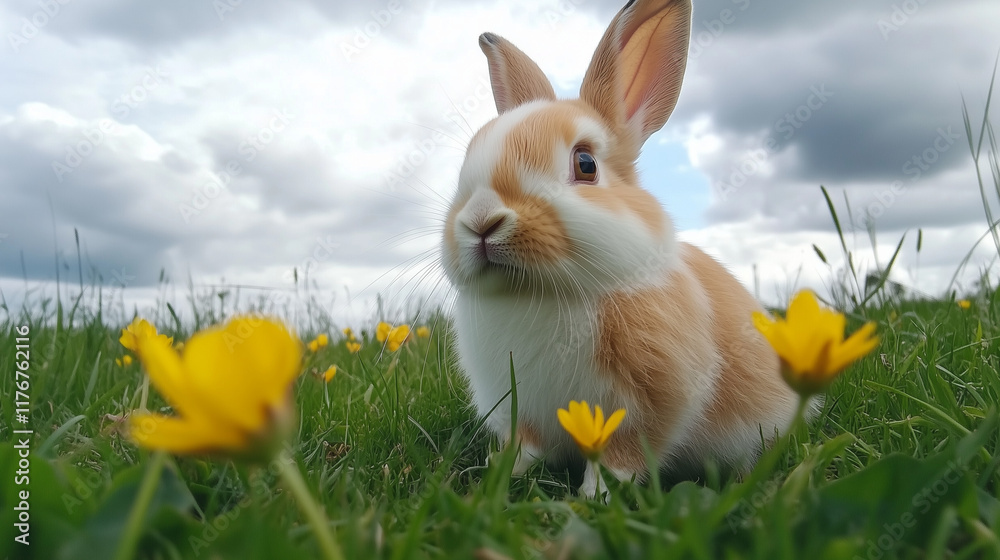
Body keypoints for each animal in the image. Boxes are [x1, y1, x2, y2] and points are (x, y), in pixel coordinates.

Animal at [440, 0, 803, 498]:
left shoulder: (647, 403)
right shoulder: (522, 408)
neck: (538, 294)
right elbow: (528, 446)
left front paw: (595, 496)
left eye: (586, 164)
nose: (480, 221)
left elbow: (622, 455)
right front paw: (502, 471)